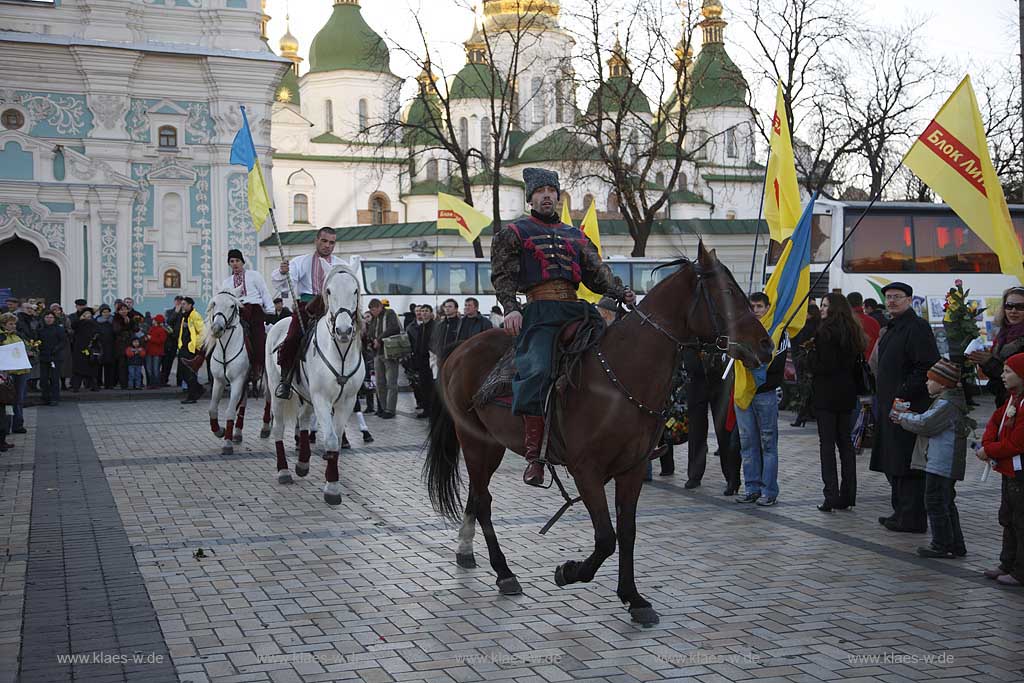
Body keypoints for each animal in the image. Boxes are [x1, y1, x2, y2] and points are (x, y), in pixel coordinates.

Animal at [266, 264, 366, 505]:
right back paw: (284, 471)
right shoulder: (322, 398)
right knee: (279, 428)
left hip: (308, 396)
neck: (340, 352)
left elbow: (337, 439)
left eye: (355, 291)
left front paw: (331, 480)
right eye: (328, 291)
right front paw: (332, 489)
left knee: (303, 419)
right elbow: (330, 439)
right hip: (277, 393)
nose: (343, 331)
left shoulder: (346, 401)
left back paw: (302, 463)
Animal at [421, 244, 770, 626]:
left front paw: (634, 598)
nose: (766, 345)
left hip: (490, 446)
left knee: (476, 495)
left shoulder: (632, 469)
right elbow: (605, 537)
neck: (620, 374)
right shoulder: (586, 471)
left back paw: (466, 550)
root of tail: (461, 347)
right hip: (477, 442)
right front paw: (569, 571)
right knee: (483, 501)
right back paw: (504, 572)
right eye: (727, 293)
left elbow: (627, 533)